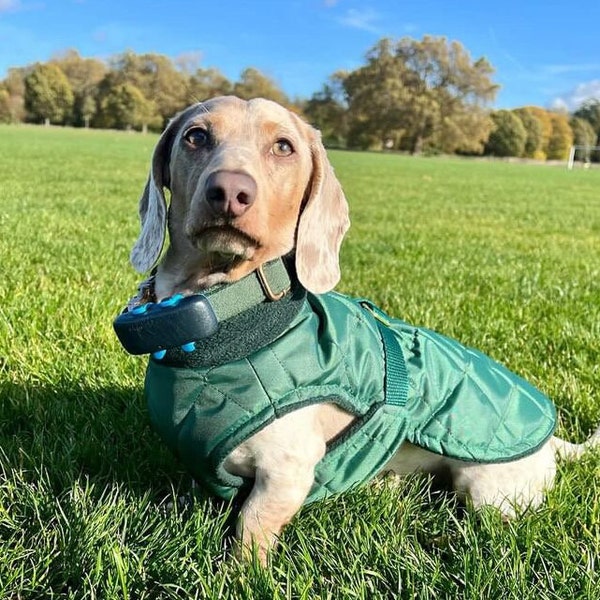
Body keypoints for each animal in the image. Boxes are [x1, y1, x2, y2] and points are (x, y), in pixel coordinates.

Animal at [123, 96, 600, 564]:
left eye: (283, 147)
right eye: (195, 136)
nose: (229, 192)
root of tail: (554, 441)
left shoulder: (287, 472)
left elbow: (251, 529)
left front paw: (242, 572)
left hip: (488, 489)